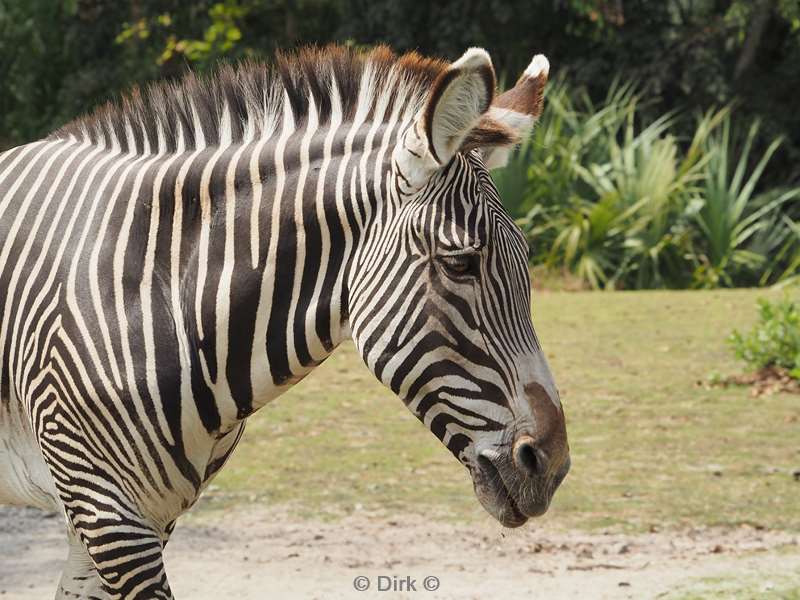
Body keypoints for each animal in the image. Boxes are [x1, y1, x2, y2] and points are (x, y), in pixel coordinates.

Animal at [3, 47, 572, 600]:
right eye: (460, 264)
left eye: (526, 260)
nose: (552, 467)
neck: (153, 288)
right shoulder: (108, 512)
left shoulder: (137, 515)